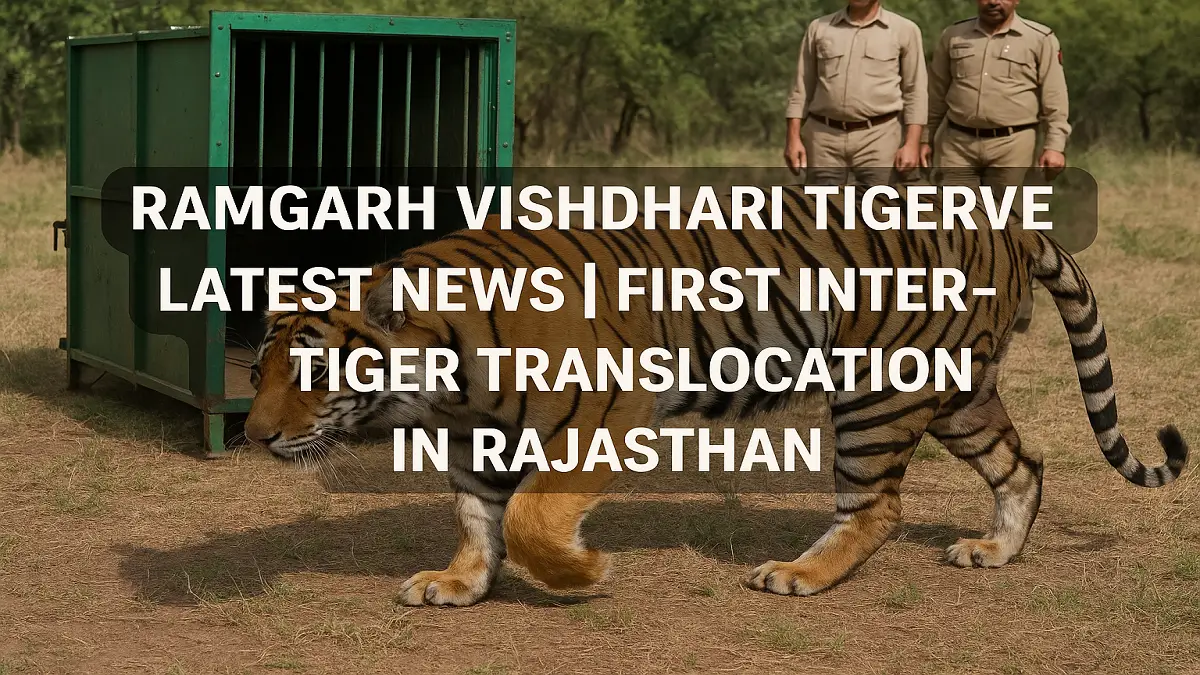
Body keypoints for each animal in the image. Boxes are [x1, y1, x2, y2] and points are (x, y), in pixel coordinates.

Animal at [243, 185, 1189, 607]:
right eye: (258, 373)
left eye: (313, 373)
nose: (252, 437)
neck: (441, 377)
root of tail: (1008, 222)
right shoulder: (478, 436)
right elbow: (479, 516)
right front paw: (460, 582)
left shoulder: (604, 407)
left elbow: (533, 515)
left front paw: (585, 572)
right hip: (959, 391)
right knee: (1023, 463)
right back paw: (994, 551)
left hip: (879, 389)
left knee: (877, 506)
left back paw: (798, 573)